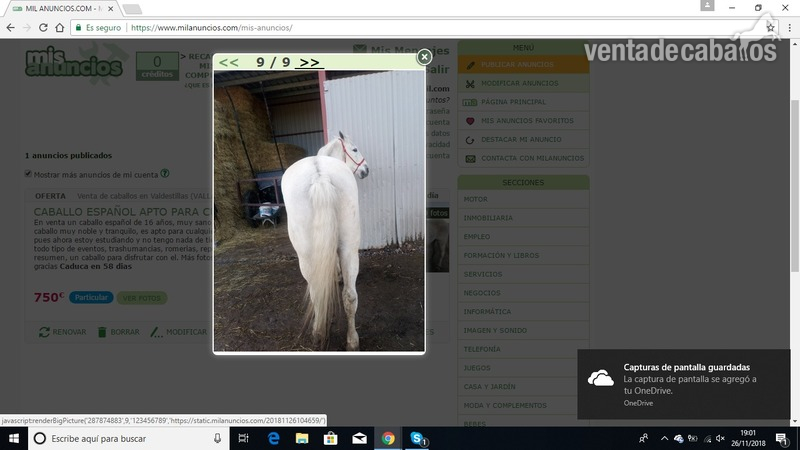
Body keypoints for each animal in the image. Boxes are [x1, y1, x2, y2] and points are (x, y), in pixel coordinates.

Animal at [281, 131, 369, 351]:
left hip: (306, 258)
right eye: (354, 149)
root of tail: (319, 175)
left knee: (317, 293)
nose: (366, 170)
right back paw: (352, 341)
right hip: (349, 250)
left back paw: (319, 334)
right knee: (350, 296)